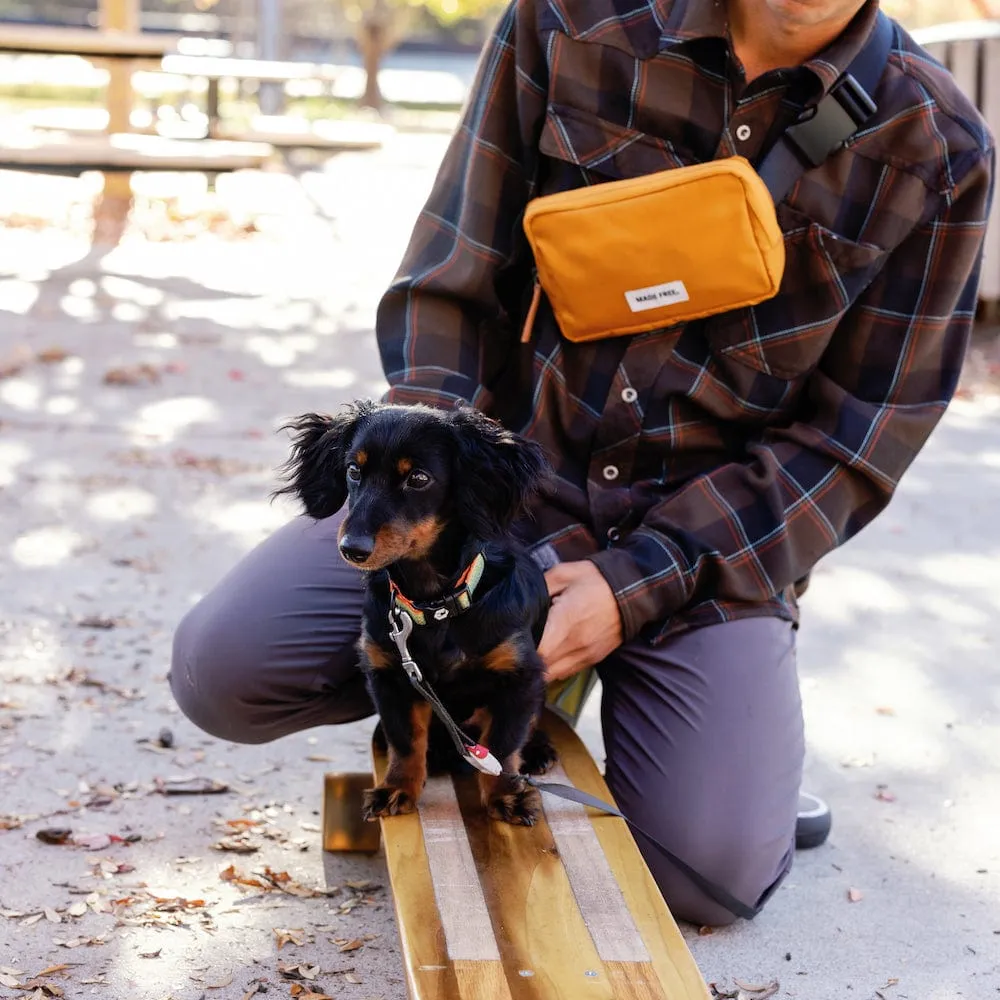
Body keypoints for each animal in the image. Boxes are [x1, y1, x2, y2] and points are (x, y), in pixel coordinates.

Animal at [274, 402, 556, 824]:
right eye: (353, 471)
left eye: (418, 479)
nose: (352, 548)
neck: (433, 606)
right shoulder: (390, 673)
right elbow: (405, 740)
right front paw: (397, 789)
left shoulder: (519, 676)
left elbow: (503, 746)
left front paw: (507, 795)